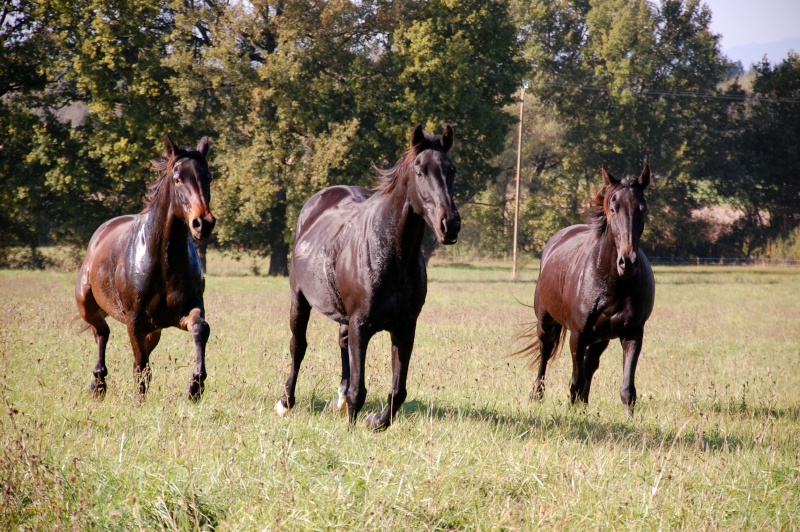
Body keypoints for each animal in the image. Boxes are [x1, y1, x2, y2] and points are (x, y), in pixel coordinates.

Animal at [75, 135, 216, 402]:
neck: (164, 262)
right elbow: (140, 365)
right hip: (86, 304)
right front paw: (139, 400)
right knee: (102, 332)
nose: (203, 223)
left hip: (153, 329)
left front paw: (195, 387)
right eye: (178, 179)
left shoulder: (185, 310)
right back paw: (98, 383)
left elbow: (201, 329)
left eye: (208, 177)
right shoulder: (135, 320)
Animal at [276, 123, 460, 428]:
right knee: (298, 345)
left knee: (341, 342)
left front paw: (376, 421)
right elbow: (358, 390)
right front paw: (353, 426)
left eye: (452, 170)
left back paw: (337, 399)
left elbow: (398, 391)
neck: (392, 255)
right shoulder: (361, 324)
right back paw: (286, 401)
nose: (450, 224)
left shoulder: (405, 327)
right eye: (420, 171)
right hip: (298, 300)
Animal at [520, 165, 656, 416]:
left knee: (590, 364)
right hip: (546, 321)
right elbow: (576, 378)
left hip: (601, 337)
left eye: (643, 209)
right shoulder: (578, 335)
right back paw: (537, 395)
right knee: (545, 352)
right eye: (613, 208)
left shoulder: (633, 334)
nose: (627, 262)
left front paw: (629, 418)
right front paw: (572, 411)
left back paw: (583, 403)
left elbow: (627, 388)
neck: (611, 282)